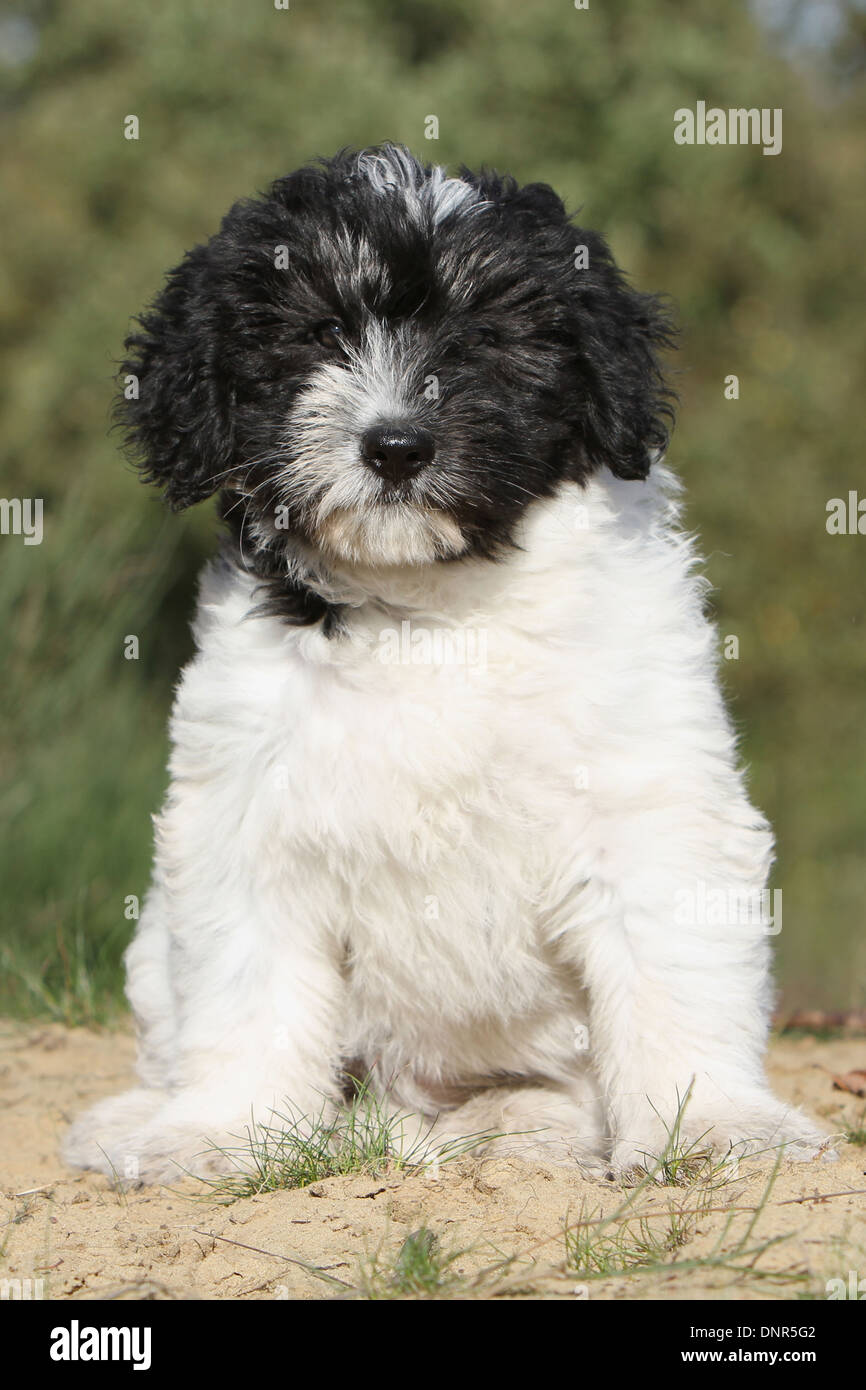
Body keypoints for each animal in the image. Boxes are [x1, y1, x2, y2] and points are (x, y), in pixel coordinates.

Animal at [66, 146, 828, 1178]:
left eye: (484, 341)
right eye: (318, 333)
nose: (395, 446)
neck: (430, 607)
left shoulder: (650, 793)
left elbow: (674, 967)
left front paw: (711, 1125)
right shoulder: (248, 807)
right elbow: (246, 987)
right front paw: (223, 1132)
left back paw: (528, 1122)